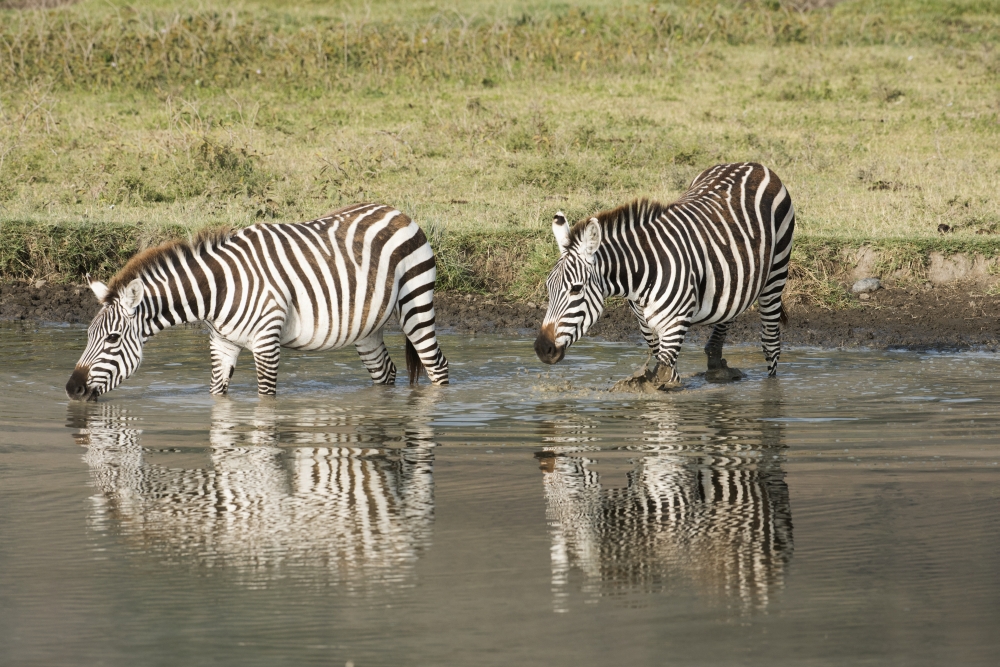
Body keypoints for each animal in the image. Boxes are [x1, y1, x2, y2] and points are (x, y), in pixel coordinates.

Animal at [65, 203, 449, 399]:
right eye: (87, 336)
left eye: (112, 338)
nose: (71, 389)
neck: (217, 291)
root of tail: (397, 210)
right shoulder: (222, 343)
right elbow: (217, 397)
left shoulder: (267, 341)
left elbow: (266, 401)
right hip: (366, 327)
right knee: (386, 373)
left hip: (415, 302)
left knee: (437, 366)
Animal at [534, 162, 795, 384]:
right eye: (548, 287)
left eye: (576, 289)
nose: (542, 349)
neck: (642, 275)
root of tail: (754, 165)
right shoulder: (647, 327)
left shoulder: (674, 325)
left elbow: (664, 381)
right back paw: (716, 363)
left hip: (776, 272)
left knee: (771, 343)